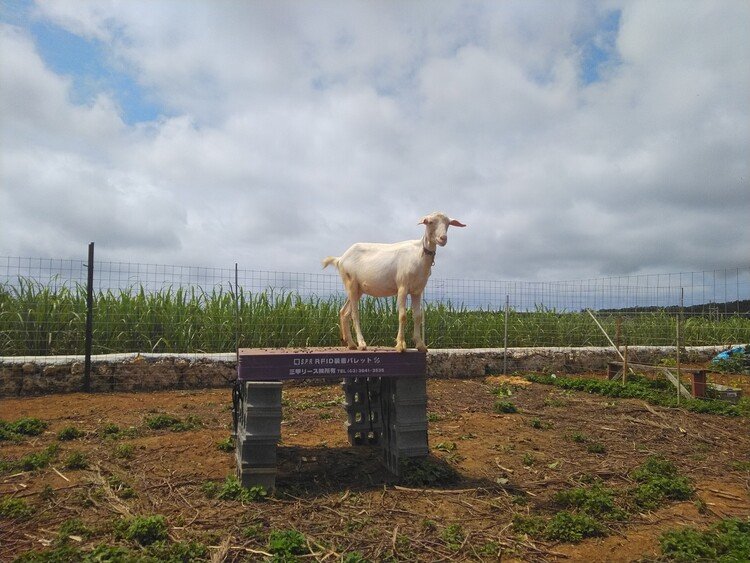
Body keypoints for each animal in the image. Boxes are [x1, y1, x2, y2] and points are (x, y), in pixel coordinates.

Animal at [322, 212, 464, 352]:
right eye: (429, 222)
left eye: (448, 223)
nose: (443, 238)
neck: (418, 254)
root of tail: (340, 259)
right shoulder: (402, 286)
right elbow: (402, 315)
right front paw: (400, 345)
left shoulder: (417, 290)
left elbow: (417, 316)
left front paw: (420, 345)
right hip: (350, 282)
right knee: (354, 314)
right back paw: (362, 344)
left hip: (358, 289)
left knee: (344, 312)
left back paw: (351, 344)